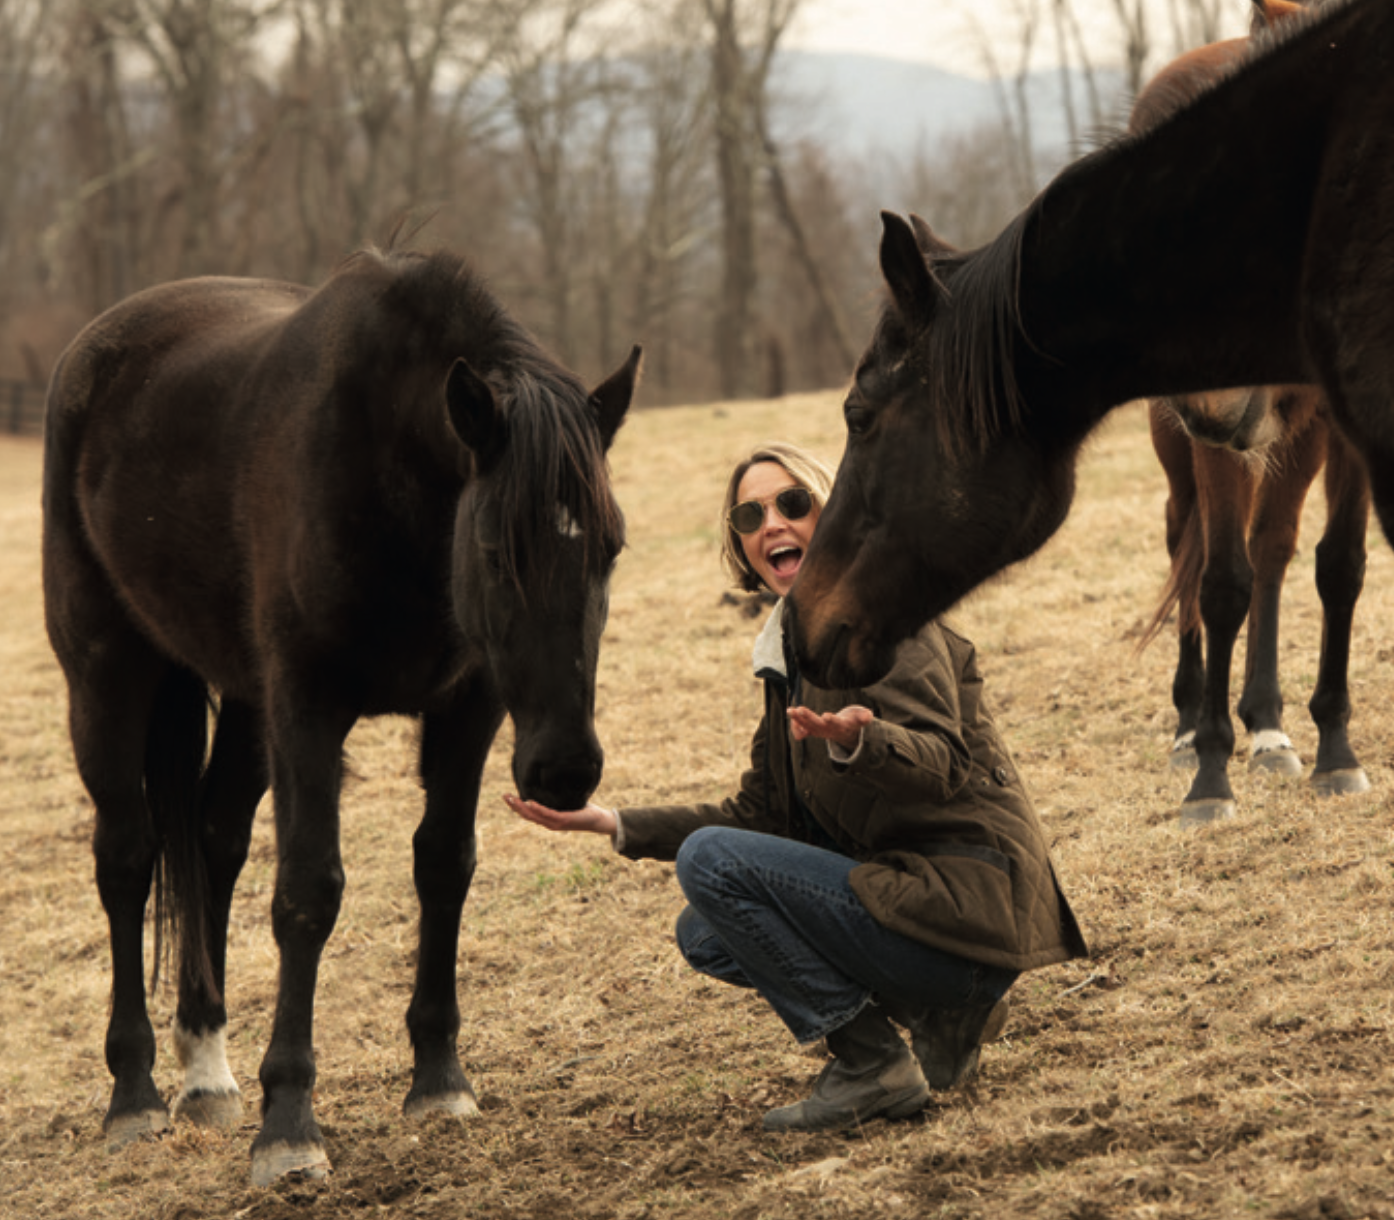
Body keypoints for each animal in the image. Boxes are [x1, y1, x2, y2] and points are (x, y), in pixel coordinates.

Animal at [41, 247, 641, 1186]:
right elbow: (307, 892)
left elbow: (444, 865)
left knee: (211, 841)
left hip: (242, 705)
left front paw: (438, 1080)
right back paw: (135, 1095)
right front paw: (290, 1125)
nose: (566, 771)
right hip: (106, 675)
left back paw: (205, 1073)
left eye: (610, 548)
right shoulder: (308, 708)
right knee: (128, 857)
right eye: (494, 552)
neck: (388, 479)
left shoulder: (468, 709)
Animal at [1129, 0, 1372, 823]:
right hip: (1178, 441)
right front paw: (1208, 774)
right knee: (1186, 538)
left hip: (1292, 437)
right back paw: (1186, 726)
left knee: (1272, 546)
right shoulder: (1211, 435)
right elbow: (1220, 582)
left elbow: (1338, 566)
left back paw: (1268, 727)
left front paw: (1335, 749)